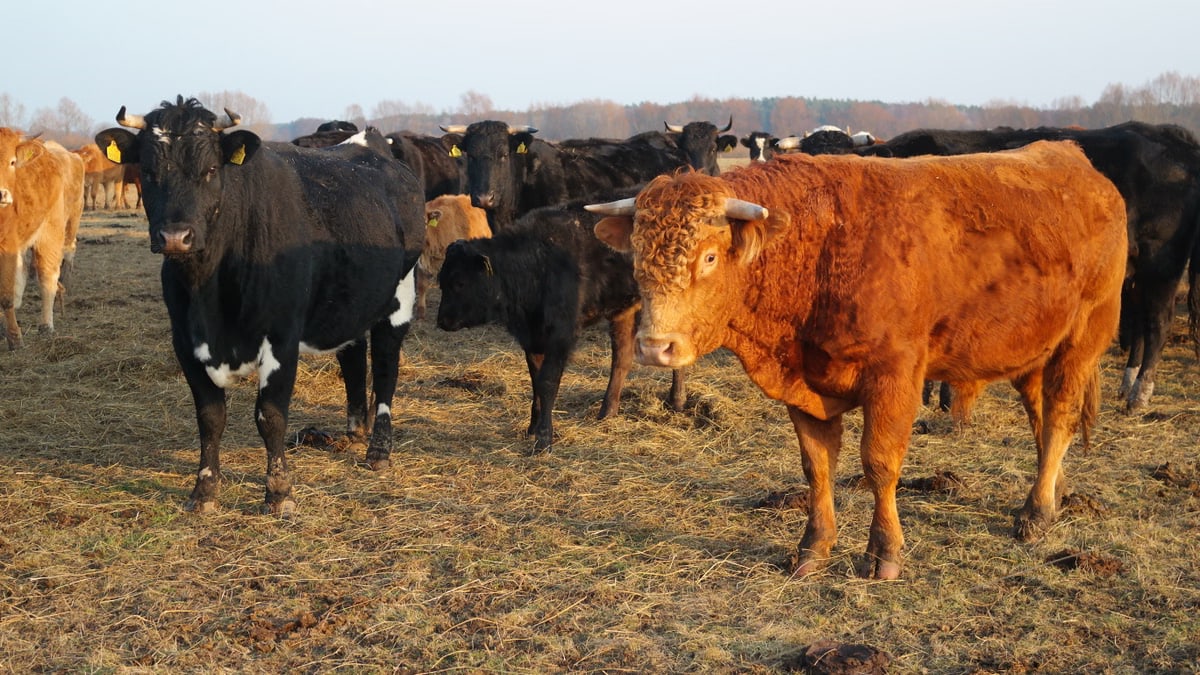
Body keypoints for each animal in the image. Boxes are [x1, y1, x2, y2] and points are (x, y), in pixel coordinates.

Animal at [0, 129, 84, 349]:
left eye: (12, 162)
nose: (2, 194)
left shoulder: (7, 248)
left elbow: (5, 295)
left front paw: (15, 338)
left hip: (51, 233)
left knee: (48, 277)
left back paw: (46, 326)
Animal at [95, 97, 425, 515]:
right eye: (149, 170)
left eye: (211, 169)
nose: (174, 236)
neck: (210, 291)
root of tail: (372, 145)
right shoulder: (184, 340)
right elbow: (210, 417)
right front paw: (204, 492)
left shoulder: (281, 337)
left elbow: (270, 416)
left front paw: (279, 492)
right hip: (350, 298)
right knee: (353, 355)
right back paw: (355, 431)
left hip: (401, 293)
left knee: (384, 366)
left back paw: (378, 450)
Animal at [437, 190, 685, 451]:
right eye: (441, 280)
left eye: (460, 282)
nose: (442, 321)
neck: (536, 262)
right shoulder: (532, 338)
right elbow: (536, 380)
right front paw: (533, 428)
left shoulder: (561, 334)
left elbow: (548, 380)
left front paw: (544, 438)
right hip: (623, 311)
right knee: (622, 357)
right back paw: (607, 411)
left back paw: (677, 401)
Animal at [587, 142, 1127, 580]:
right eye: (637, 256)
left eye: (710, 257)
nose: (655, 347)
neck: (823, 245)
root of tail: (1076, 160)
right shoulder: (805, 384)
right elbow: (816, 466)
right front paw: (813, 548)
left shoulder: (894, 377)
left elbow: (879, 464)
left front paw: (884, 552)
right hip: (1035, 347)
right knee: (1041, 416)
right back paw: (1052, 496)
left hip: (1084, 337)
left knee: (1059, 416)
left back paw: (1035, 514)